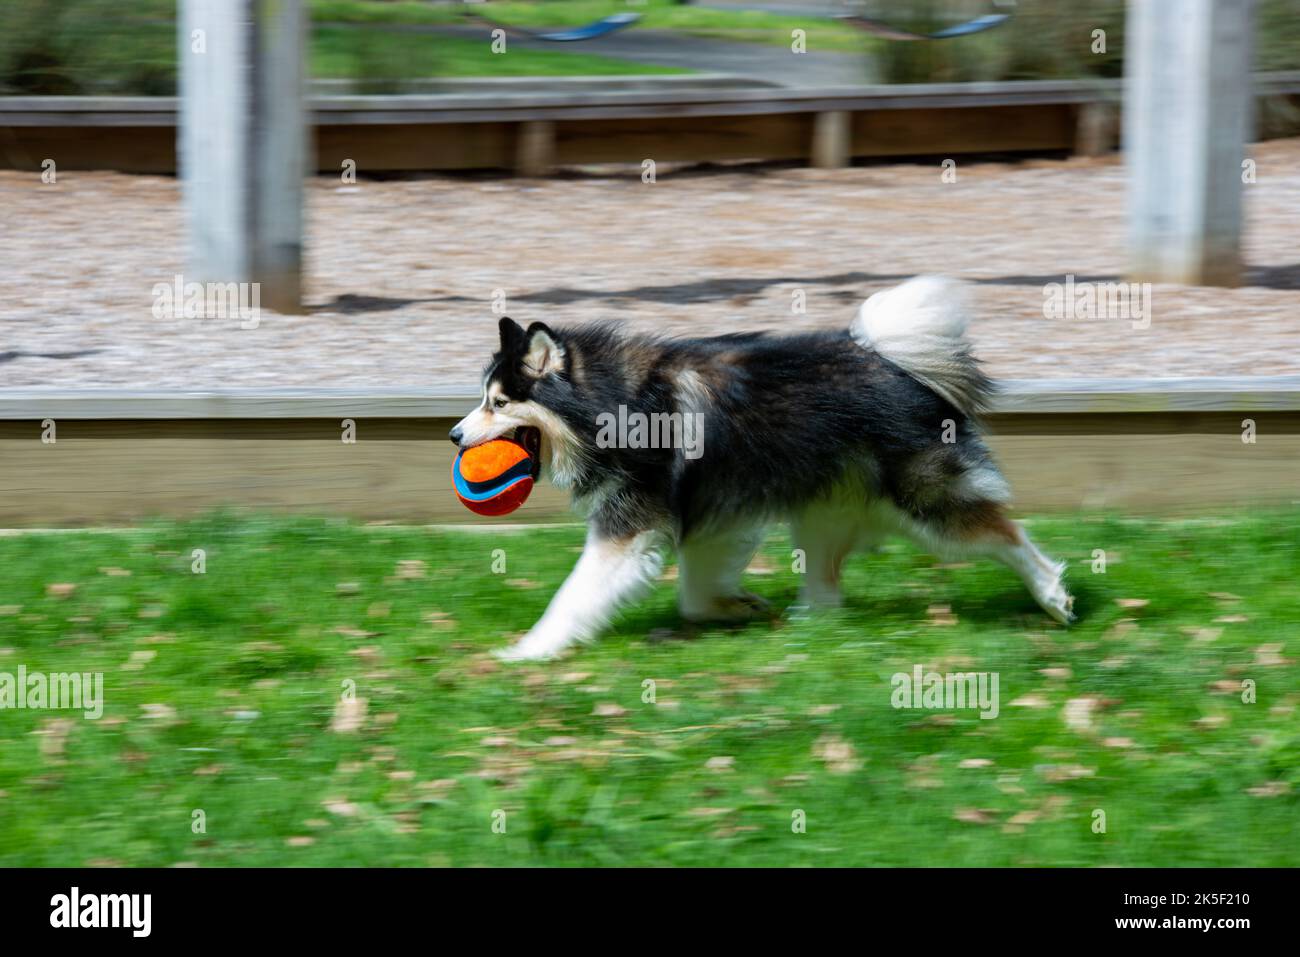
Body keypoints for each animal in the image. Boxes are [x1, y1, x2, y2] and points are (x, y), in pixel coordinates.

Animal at [452, 276, 1071, 657]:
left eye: (498, 403)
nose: (455, 435)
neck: (614, 402)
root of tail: (891, 360)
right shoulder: (712, 516)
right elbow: (695, 594)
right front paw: (735, 606)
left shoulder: (629, 527)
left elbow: (573, 595)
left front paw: (531, 649)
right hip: (824, 509)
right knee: (826, 588)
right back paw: (804, 627)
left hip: (924, 503)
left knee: (1006, 535)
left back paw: (1053, 595)